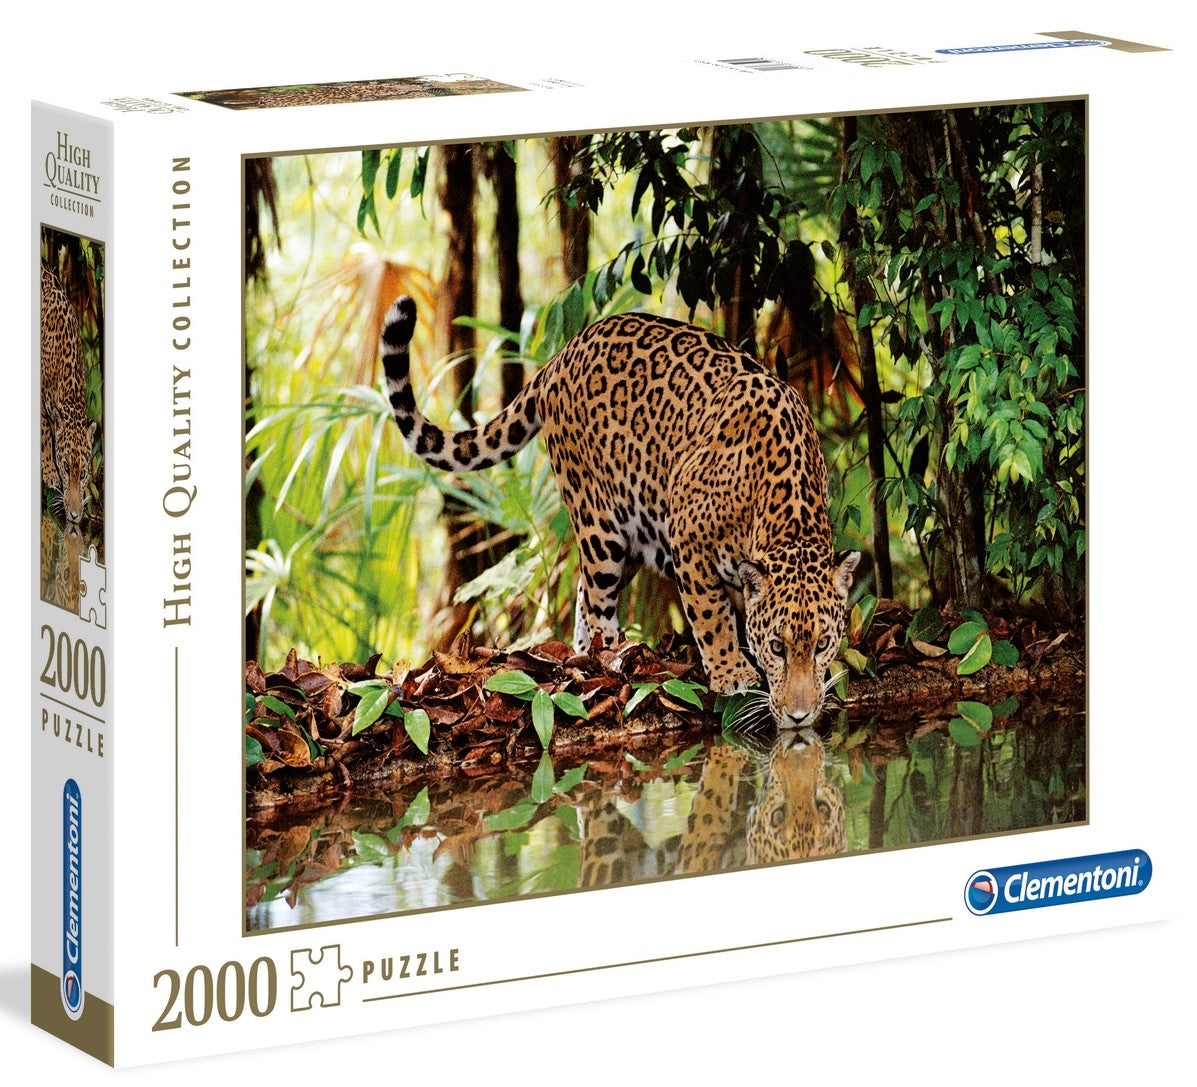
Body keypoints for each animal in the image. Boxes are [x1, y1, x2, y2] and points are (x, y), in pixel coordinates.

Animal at [380, 297, 859, 728]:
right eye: (778, 648)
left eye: (822, 645)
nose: (799, 716)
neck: (782, 514)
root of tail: (561, 355)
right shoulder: (688, 541)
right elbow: (712, 617)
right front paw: (732, 673)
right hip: (599, 522)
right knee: (597, 600)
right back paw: (609, 655)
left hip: (630, 538)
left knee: (582, 591)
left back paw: (581, 655)